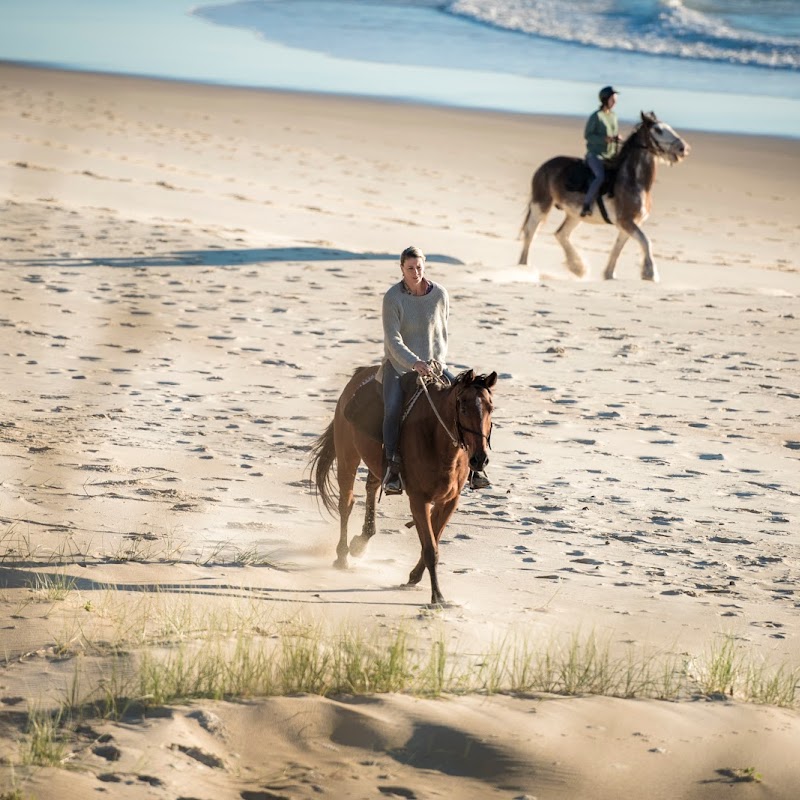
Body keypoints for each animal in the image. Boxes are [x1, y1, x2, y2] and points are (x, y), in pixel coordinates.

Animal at [310, 366, 496, 604]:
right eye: (463, 407)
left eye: (491, 408)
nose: (480, 459)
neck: (438, 442)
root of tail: (361, 373)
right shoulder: (418, 499)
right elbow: (430, 549)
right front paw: (437, 596)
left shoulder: (449, 501)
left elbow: (434, 539)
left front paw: (414, 577)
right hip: (347, 455)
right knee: (346, 503)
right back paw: (342, 556)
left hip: (376, 464)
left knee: (371, 487)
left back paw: (360, 542)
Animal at [520, 111, 688, 282]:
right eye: (658, 130)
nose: (682, 148)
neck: (633, 180)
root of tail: (544, 166)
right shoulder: (627, 221)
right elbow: (646, 241)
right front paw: (650, 273)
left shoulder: (628, 224)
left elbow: (618, 249)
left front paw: (609, 274)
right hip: (541, 205)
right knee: (530, 232)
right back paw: (524, 266)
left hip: (574, 215)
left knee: (561, 234)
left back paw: (578, 267)